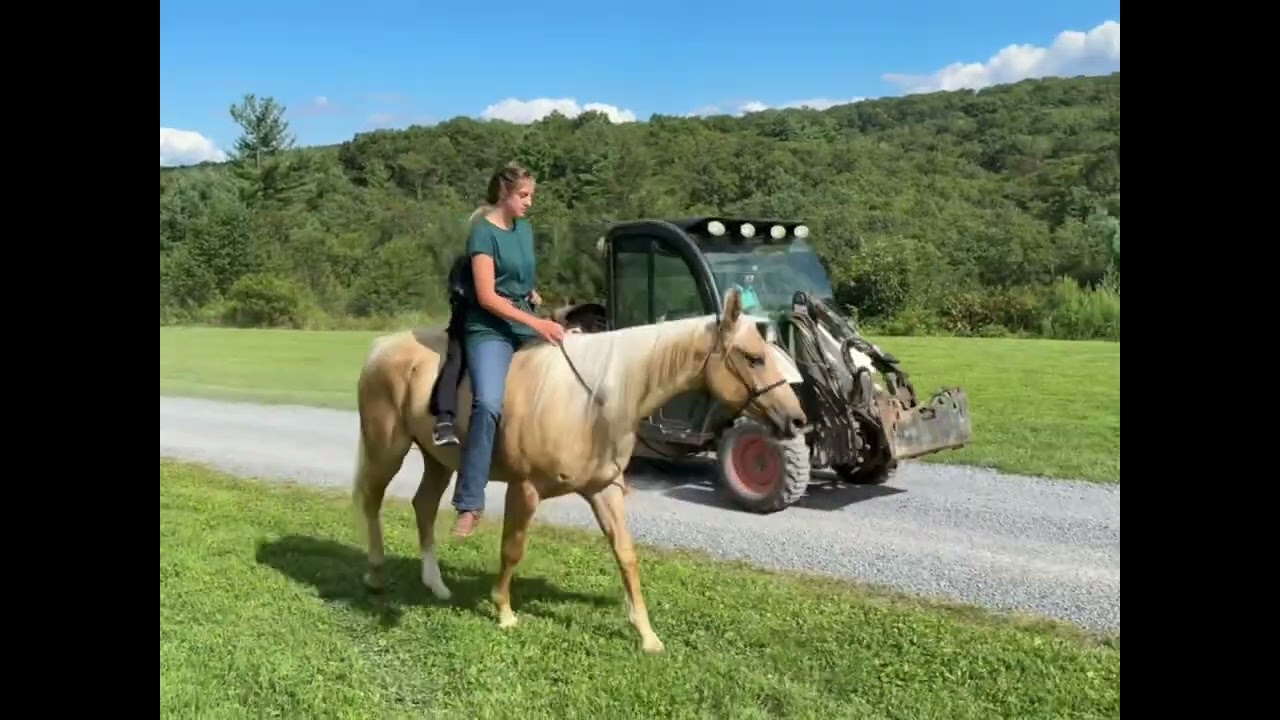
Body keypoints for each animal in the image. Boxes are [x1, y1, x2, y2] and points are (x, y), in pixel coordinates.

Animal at [350, 287, 808, 654]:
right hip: (387, 448)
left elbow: (626, 555)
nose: (797, 419)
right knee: (372, 500)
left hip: (437, 459)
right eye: (754, 358)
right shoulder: (525, 488)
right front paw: (504, 611)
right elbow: (512, 549)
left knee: (423, 506)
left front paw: (647, 635)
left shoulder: (604, 489)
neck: (593, 400)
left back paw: (436, 584)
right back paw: (374, 574)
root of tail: (381, 347)